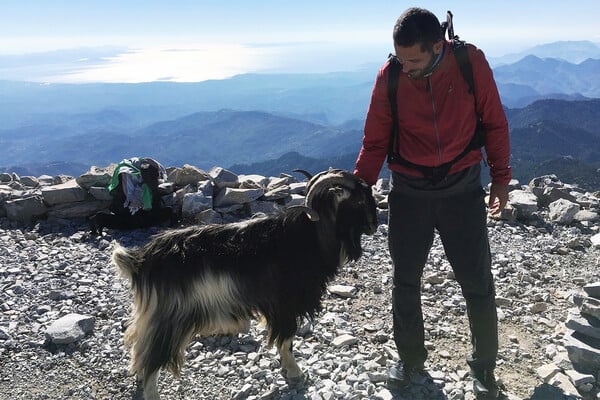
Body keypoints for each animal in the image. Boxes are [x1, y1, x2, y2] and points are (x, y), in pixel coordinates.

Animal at [110, 167, 378, 398]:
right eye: (358, 201)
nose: (374, 226)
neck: (308, 235)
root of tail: (140, 260)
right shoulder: (284, 305)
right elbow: (286, 339)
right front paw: (295, 373)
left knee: (138, 346)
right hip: (170, 317)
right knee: (151, 358)